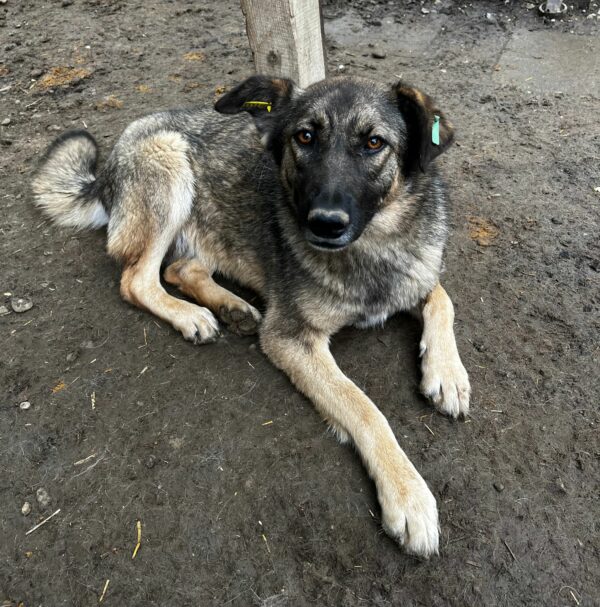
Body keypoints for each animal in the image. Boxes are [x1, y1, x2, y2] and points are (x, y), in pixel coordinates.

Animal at [32, 77, 472, 560]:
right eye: (304, 137)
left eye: (374, 143)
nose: (325, 223)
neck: (375, 244)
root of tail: (108, 166)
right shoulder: (290, 337)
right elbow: (364, 406)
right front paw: (407, 494)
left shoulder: (417, 276)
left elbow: (442, 298)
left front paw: (448, 374)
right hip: (169, 167)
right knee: (137, 280)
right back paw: (192, 316)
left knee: (180, 269)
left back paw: (232, 308)